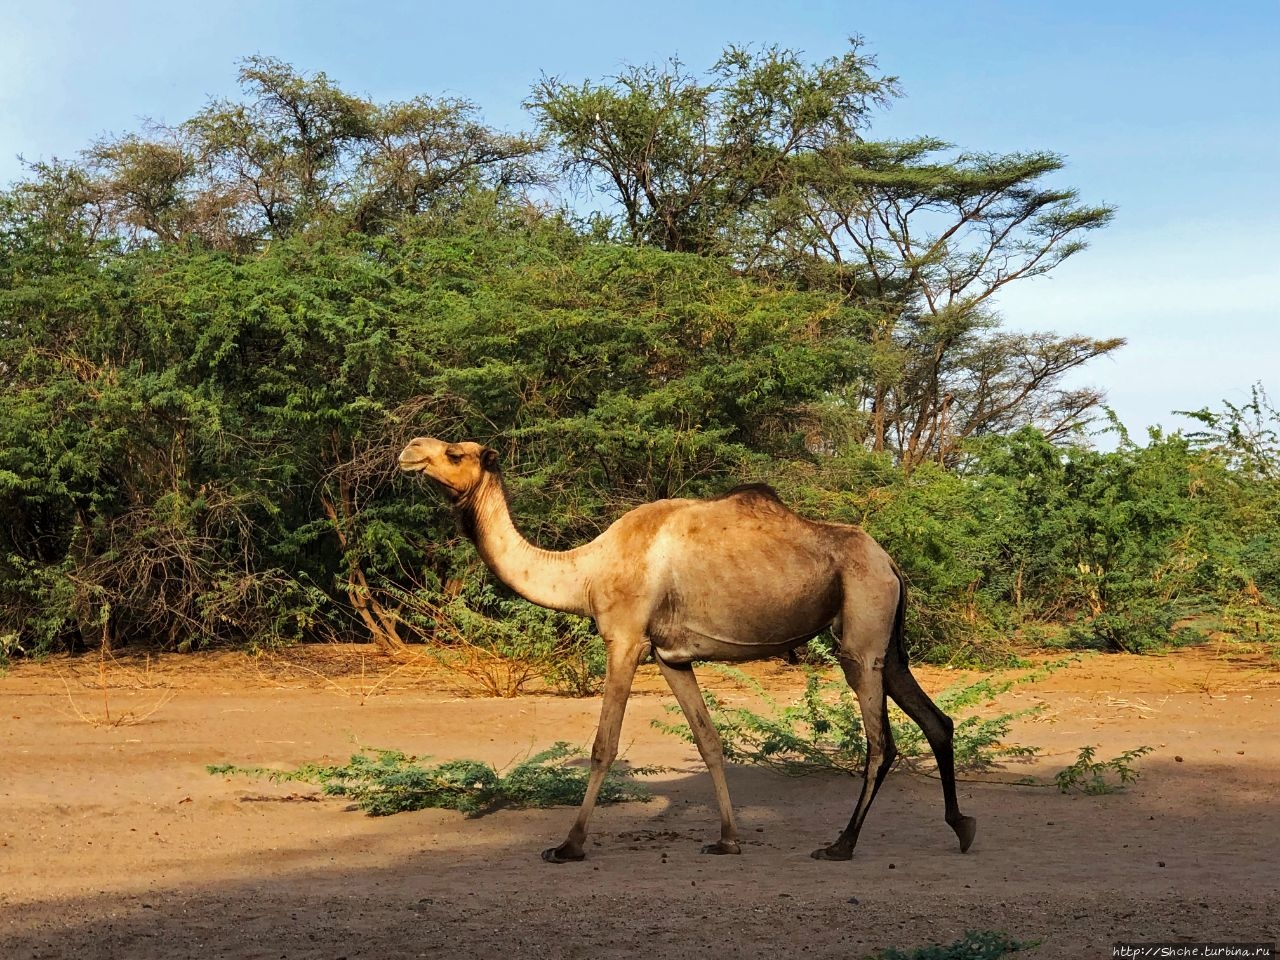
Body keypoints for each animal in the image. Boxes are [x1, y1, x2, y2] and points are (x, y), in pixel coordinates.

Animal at [399, 437, 977, 865]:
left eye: (456, 452)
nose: (409, 449)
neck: (585, 572)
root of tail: (891, 563)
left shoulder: (626, 638)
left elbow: (604, 745)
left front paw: (568, 845)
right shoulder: (670, 656)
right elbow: (709, 741)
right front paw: (727, 839)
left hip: (861, 628)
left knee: (881, 741)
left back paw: (841, 844)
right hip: (887, 640)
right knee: (935, 719)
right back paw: (962, 826)